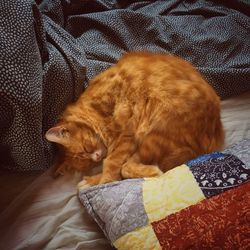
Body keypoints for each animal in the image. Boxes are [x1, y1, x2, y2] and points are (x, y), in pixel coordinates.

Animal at [45, 51, 225, 188]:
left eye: (85, 148)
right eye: (85, 162)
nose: (95, 157)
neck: (96, 108)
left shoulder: (126, 132)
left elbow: (110, 164)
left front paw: (105, 182)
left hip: (153, 133)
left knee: (128, 168)